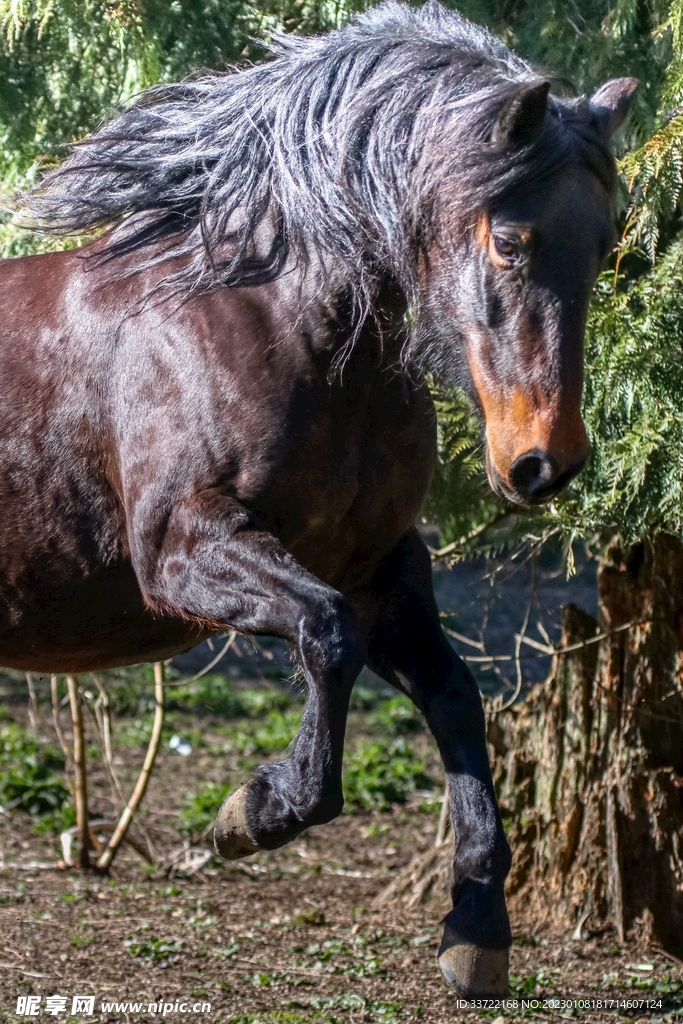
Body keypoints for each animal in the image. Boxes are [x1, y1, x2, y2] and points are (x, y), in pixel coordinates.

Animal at [1, 0, 635, 997]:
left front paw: (476, 929)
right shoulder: (182, 552)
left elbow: (455, 697)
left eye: (604, 244)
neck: (267, 323)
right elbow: (326, 637)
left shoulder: (384, 569)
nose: (545, 463)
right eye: (509, 240)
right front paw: (251, 812)